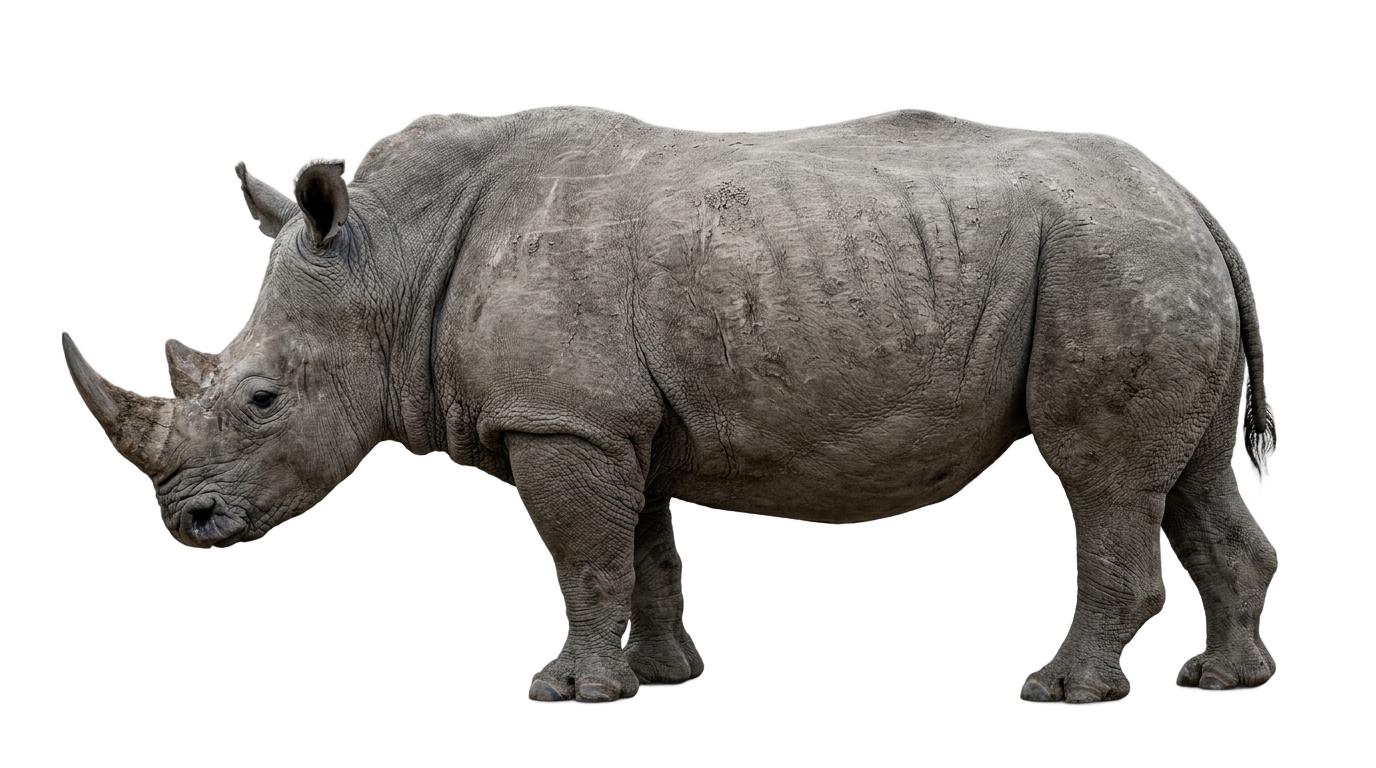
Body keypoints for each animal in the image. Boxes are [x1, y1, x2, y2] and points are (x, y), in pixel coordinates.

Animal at [59, 107, 1278, 703]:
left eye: (261, 397)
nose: (186, 523)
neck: (388, 260)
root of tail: (1189, 198)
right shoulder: (604, 415)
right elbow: (636, 552)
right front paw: (661, 679)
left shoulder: (563, 417)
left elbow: (583, 557)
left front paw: (572, 697)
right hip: (1151, 262)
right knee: (1198, 481)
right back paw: (1225, 682)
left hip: (1108, 261)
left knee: (1103, 479)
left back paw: (1063, 697)